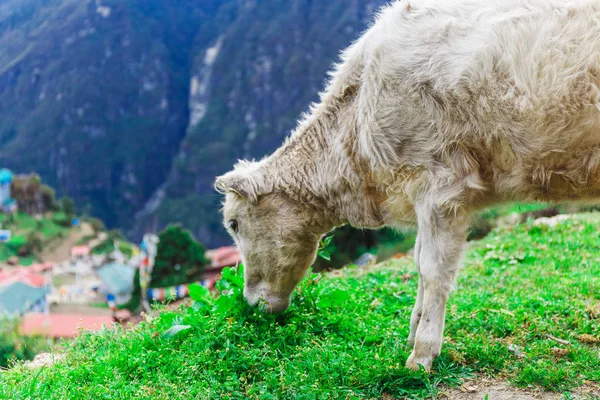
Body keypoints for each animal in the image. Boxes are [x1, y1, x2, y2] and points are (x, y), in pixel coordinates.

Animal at [216, 0, 600, 370]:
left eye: (234, 223)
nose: (249, 302)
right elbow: (416, 263)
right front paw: (414, 333)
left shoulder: (441, 188)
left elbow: (432, 271)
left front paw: (422, 355)